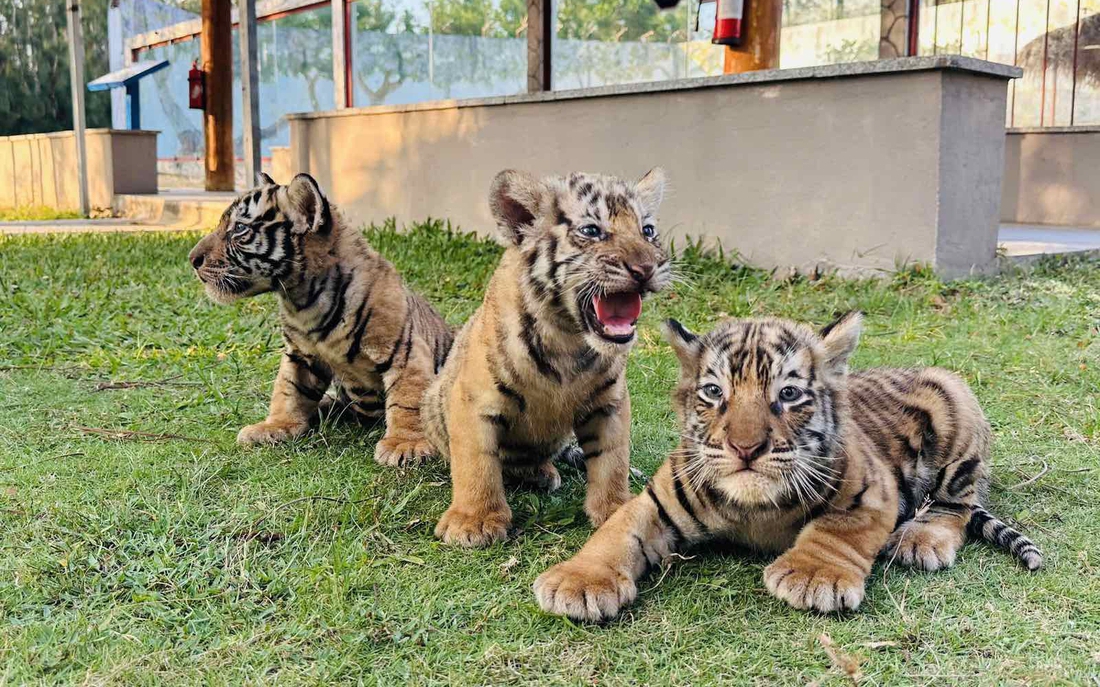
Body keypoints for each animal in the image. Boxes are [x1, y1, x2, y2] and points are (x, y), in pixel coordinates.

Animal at [188, 172, 454, 467]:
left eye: (239, 229)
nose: (192, 259)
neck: (303, 300)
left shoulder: (404, 352)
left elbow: (408, 399)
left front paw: (405, 444)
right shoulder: (299, 354)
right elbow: (288, 391)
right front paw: (275, 426)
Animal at [421, 168, 672, 547]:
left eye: (647, 230)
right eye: (591, 231)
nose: (646, 268)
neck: (569, 338)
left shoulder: (610, 402)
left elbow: (612, 459)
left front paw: (615, 509)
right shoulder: (473, 399)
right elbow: (476, 461)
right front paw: (474, 522)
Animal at [535, 312, 1043, 620]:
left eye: (789, 393)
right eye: (714, 392)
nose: (745, 448)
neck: (753, 509)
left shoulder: (873, 491)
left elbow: (839, 530)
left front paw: (813, 576)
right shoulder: (655, 500)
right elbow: (615, 533)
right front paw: (577, 582)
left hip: (956, 404)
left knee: (956, 504)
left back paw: (921, 539)